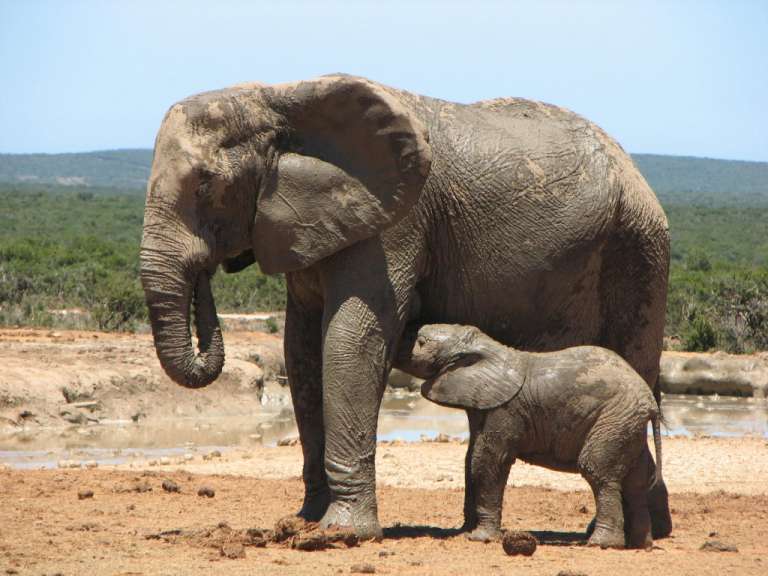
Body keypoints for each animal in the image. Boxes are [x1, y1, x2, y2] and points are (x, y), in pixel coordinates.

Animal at [401, 323, 663, 549]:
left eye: (421, 342)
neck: (489, 347)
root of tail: (650, 402)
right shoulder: (483, 402)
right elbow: (475, 456)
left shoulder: (505, 408)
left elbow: (488, 460)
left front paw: (480, 539)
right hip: (627, 424)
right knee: (636, 480)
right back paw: (641, 545)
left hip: (613, 418)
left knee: (598, 472)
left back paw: (601, 544)